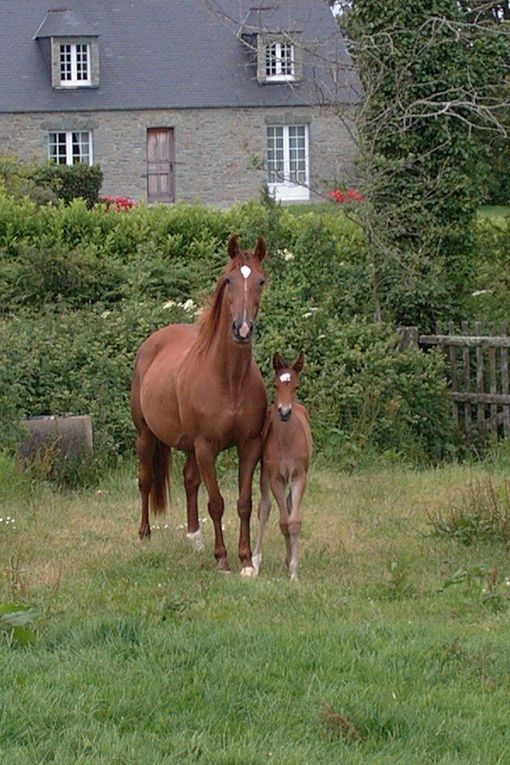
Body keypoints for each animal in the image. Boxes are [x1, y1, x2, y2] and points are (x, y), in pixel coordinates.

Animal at [253, 352, 312, 580]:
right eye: (275, 385)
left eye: (296, 386)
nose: (284, 412)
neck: (287, 441)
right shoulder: (276, 477)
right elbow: (283, 522)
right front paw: (291, 564)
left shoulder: (299, 476)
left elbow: (294, 522)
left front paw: (294, 570)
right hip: (264, 475)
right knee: (265, 508)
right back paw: (255, 561)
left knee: (288, 506)